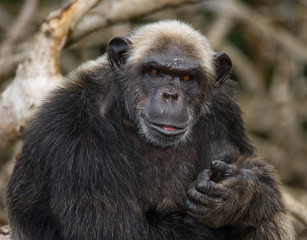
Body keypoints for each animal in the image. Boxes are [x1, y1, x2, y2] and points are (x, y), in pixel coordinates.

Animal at [6, 20, 296, 240]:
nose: (170, 95)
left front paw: (240, 194)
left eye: (187, 78)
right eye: (155, 72)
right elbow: (117, 231)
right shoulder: (75, 135)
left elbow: (249, 163)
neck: (125, 111)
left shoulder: (224, 108)